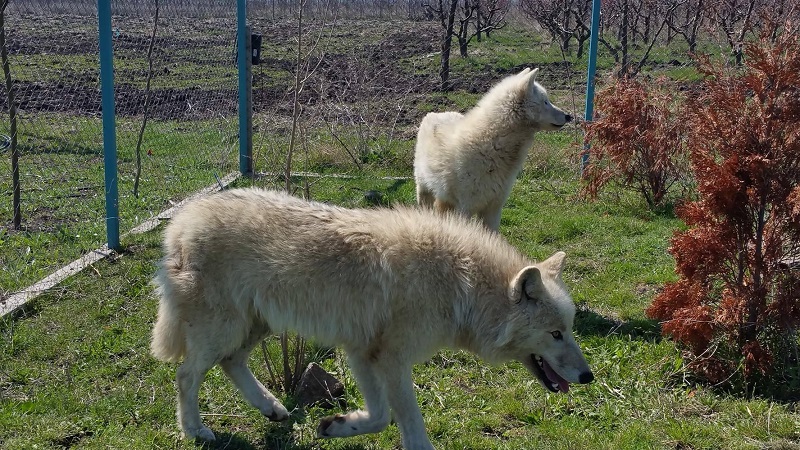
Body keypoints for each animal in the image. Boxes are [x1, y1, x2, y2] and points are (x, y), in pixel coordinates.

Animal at [150, 188, 592, 448]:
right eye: (556, 334)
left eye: (570, 330)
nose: (588, 376)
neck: (461, 284)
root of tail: (181, 220)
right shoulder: (389, 358)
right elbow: (407, 428)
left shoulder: (362, 353)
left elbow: (379, 417)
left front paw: (336, 425)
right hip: (224, 329)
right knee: (186, 375)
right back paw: (196, 431)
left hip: (255, 327)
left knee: (231, 363)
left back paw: (272, 409)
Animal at [416, 68, 572, 230]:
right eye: (545, 102)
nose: (569, 116)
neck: (491, 144)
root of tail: (434, 113)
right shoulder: (466, 208)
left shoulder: (494, 208)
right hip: (424, 190)